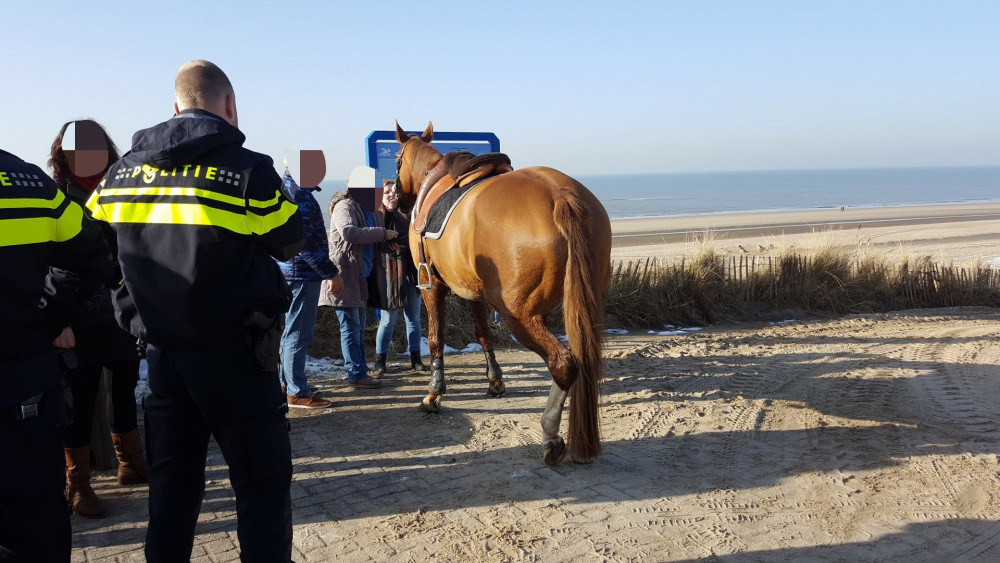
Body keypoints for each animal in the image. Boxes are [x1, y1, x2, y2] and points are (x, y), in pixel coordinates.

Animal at [394, 123, 612, 468]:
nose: (396, 198)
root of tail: (559, 195)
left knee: (563, 364)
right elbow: (483, 333)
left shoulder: (433, 285)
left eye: (397, 160)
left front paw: (433, 394)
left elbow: (435, 338)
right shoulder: (473, 290)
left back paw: (550, 434)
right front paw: (495, 381)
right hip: (584, 307)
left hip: (519, 316)